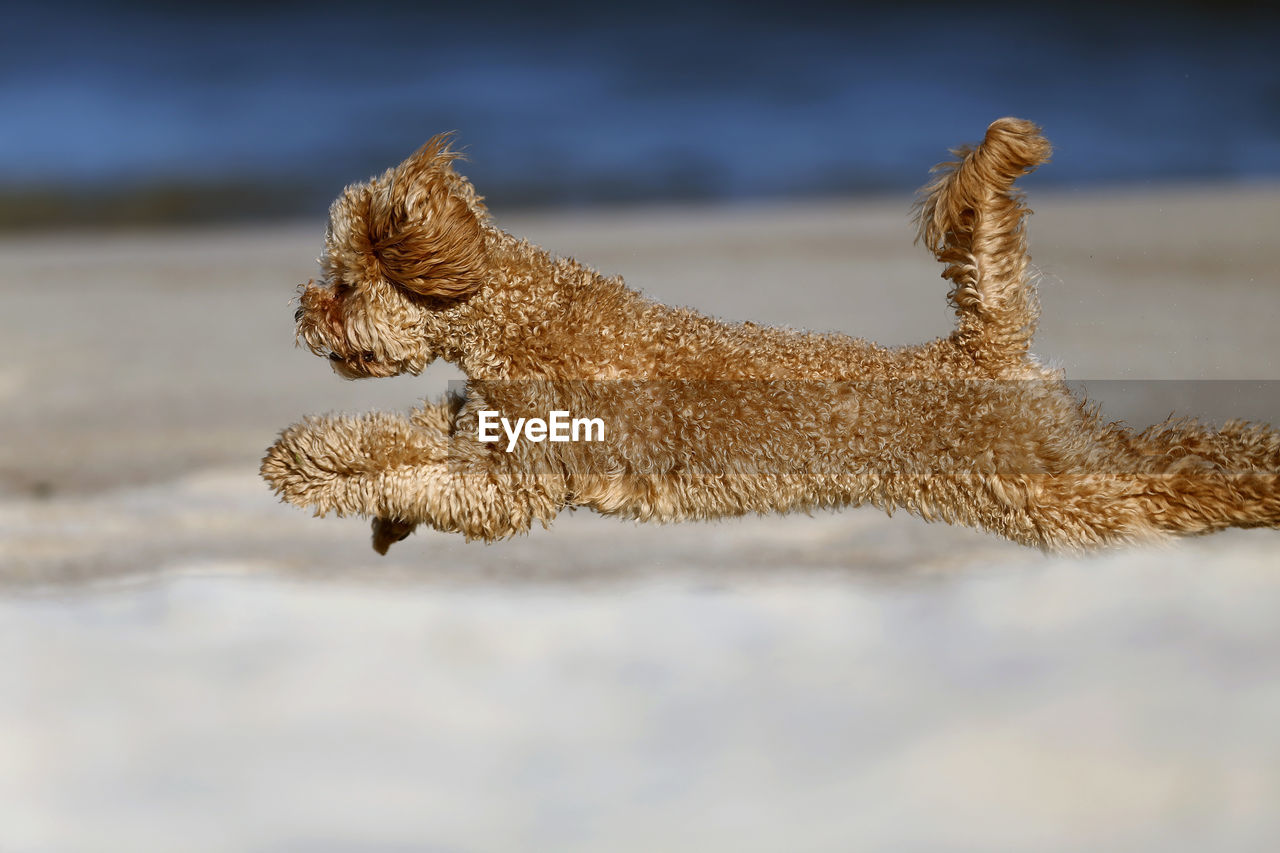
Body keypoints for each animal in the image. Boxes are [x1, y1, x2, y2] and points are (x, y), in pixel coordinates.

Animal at [259, 117, 1280, 550]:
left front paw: (335, 481)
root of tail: (975, 351)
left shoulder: (516, 485)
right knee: (1186, 448)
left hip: (1049, 488)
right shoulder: (484, 437)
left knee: (1169, 485)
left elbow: (412, 474)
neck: (514, 315)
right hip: (1063, 455)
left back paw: (1251, 495)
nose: (301, 311)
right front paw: (306, 458)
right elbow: (385, 444)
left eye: (342, 281)